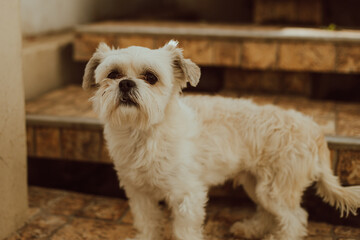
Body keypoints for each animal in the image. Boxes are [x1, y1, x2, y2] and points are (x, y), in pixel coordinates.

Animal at [83, 40, 360, 240]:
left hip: (277, 189)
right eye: (113, 74)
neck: (144, 133)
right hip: (257, 184)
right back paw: (250, 230)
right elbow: (148, 225)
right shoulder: (139, 194)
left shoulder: (187, 196)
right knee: (269, 215)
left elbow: (184, 232)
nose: (126, 83)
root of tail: (315, 130)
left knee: (295, 219)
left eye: (151, 77)